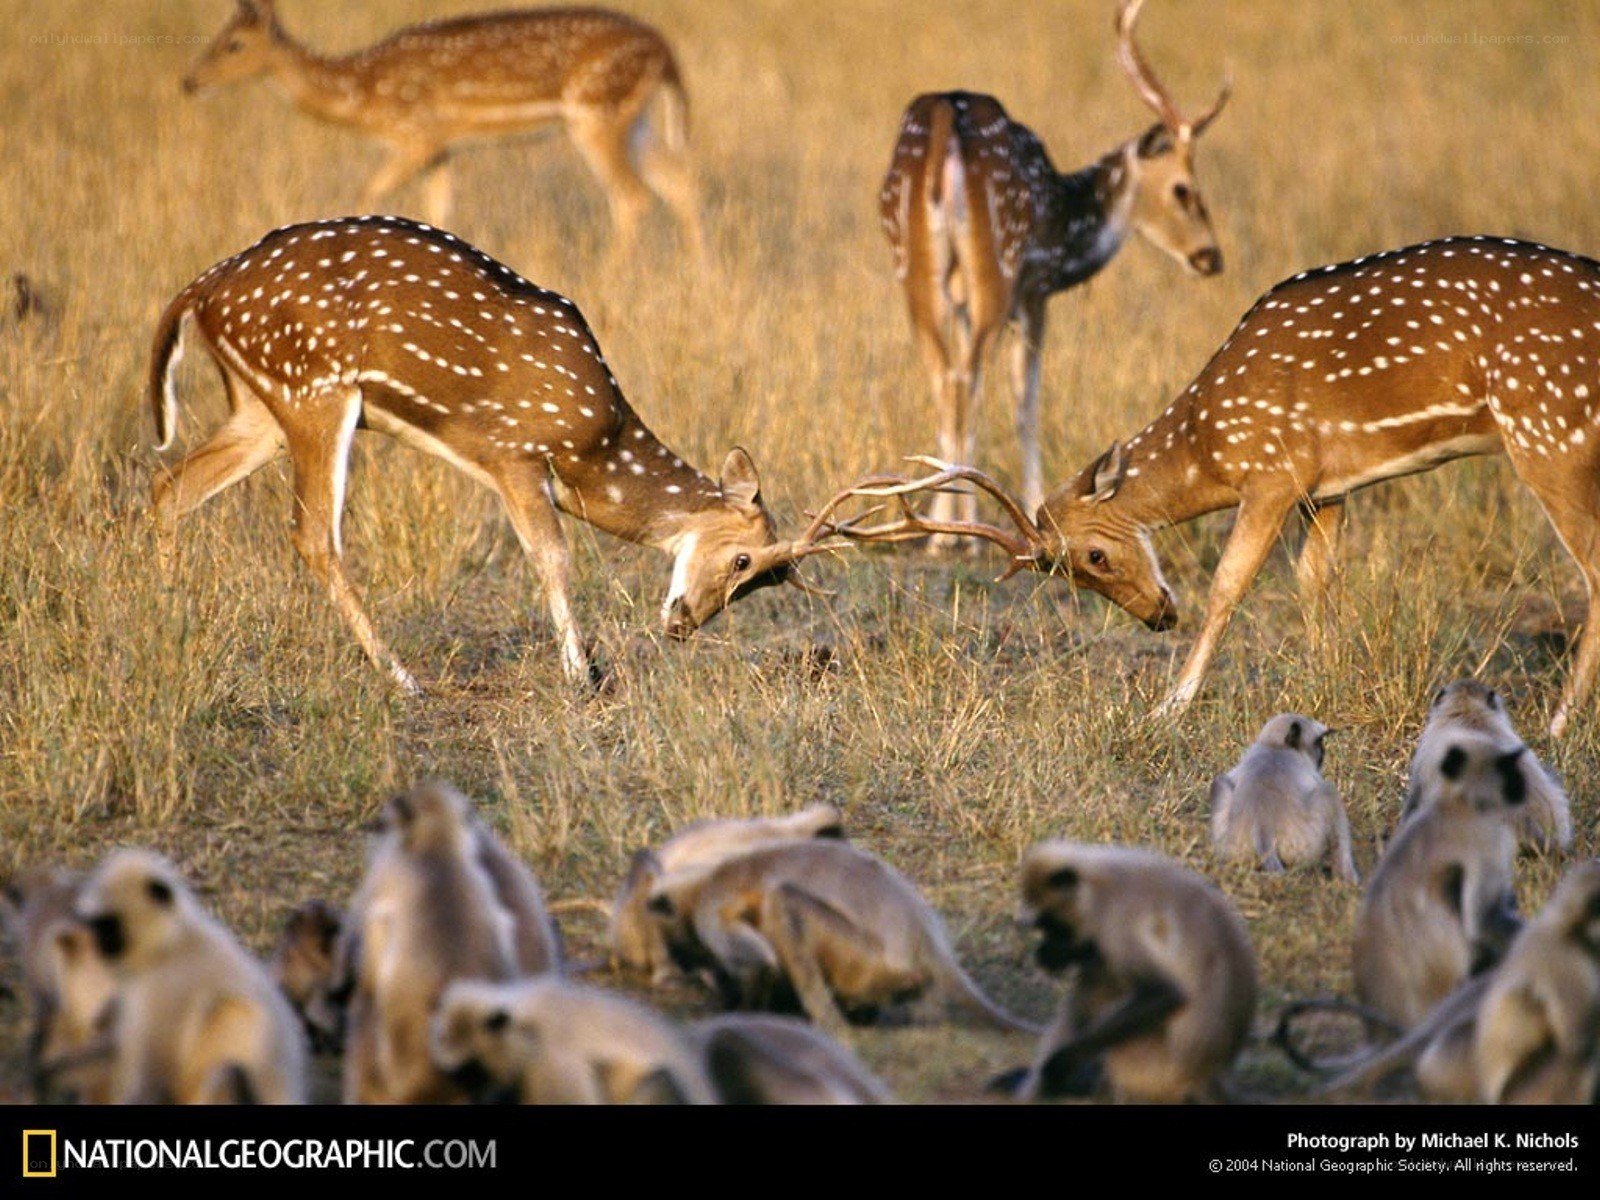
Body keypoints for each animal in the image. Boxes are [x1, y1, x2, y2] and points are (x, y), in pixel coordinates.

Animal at [146, 215, 842, 692]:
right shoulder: (514, 451)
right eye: (743, 560)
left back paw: (175, 620)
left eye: (768, 580)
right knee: (313, 534)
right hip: (313, 388)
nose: (682, 625)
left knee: (169, 487)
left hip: (262, 407)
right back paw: (402, 677)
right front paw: (582, 677)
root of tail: (199, 291)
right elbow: (553, 556)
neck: (595, 449)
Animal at [182, 1, 703, 255]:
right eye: (218, 37)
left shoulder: (418, 135)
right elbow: (439, 208)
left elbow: (368, 192)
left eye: (233, 44)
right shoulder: (443, 148)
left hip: (594, 113)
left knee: (632, 195)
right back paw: (698, 273)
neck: (360, 92)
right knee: (679, 181)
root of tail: (665, 50)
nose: (190, 82)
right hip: (632, 119)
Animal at [816, 236, 1600, 739]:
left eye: (1094, 556)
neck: (1211, 443)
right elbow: (1315, 581)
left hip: (1548, 431)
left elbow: (1230, 584)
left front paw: (1170, 707)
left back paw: (1558, 727)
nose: (1159, 616)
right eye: (1071, 574)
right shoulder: (1328, 486)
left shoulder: (1274, 470)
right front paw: (1327, 691)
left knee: (1594, 570)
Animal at [877, 0, 1228, 544]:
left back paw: (942, 528)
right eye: (1183, 189)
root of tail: (943, 124)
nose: (1211, 257)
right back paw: (958, 536)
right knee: (968, 378)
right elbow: (1026, 401)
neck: (1067, 230)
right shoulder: (1036, 290)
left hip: (915, 270)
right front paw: (1034, 508)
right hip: (996, 265)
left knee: (943, 375)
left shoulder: (965, 302)